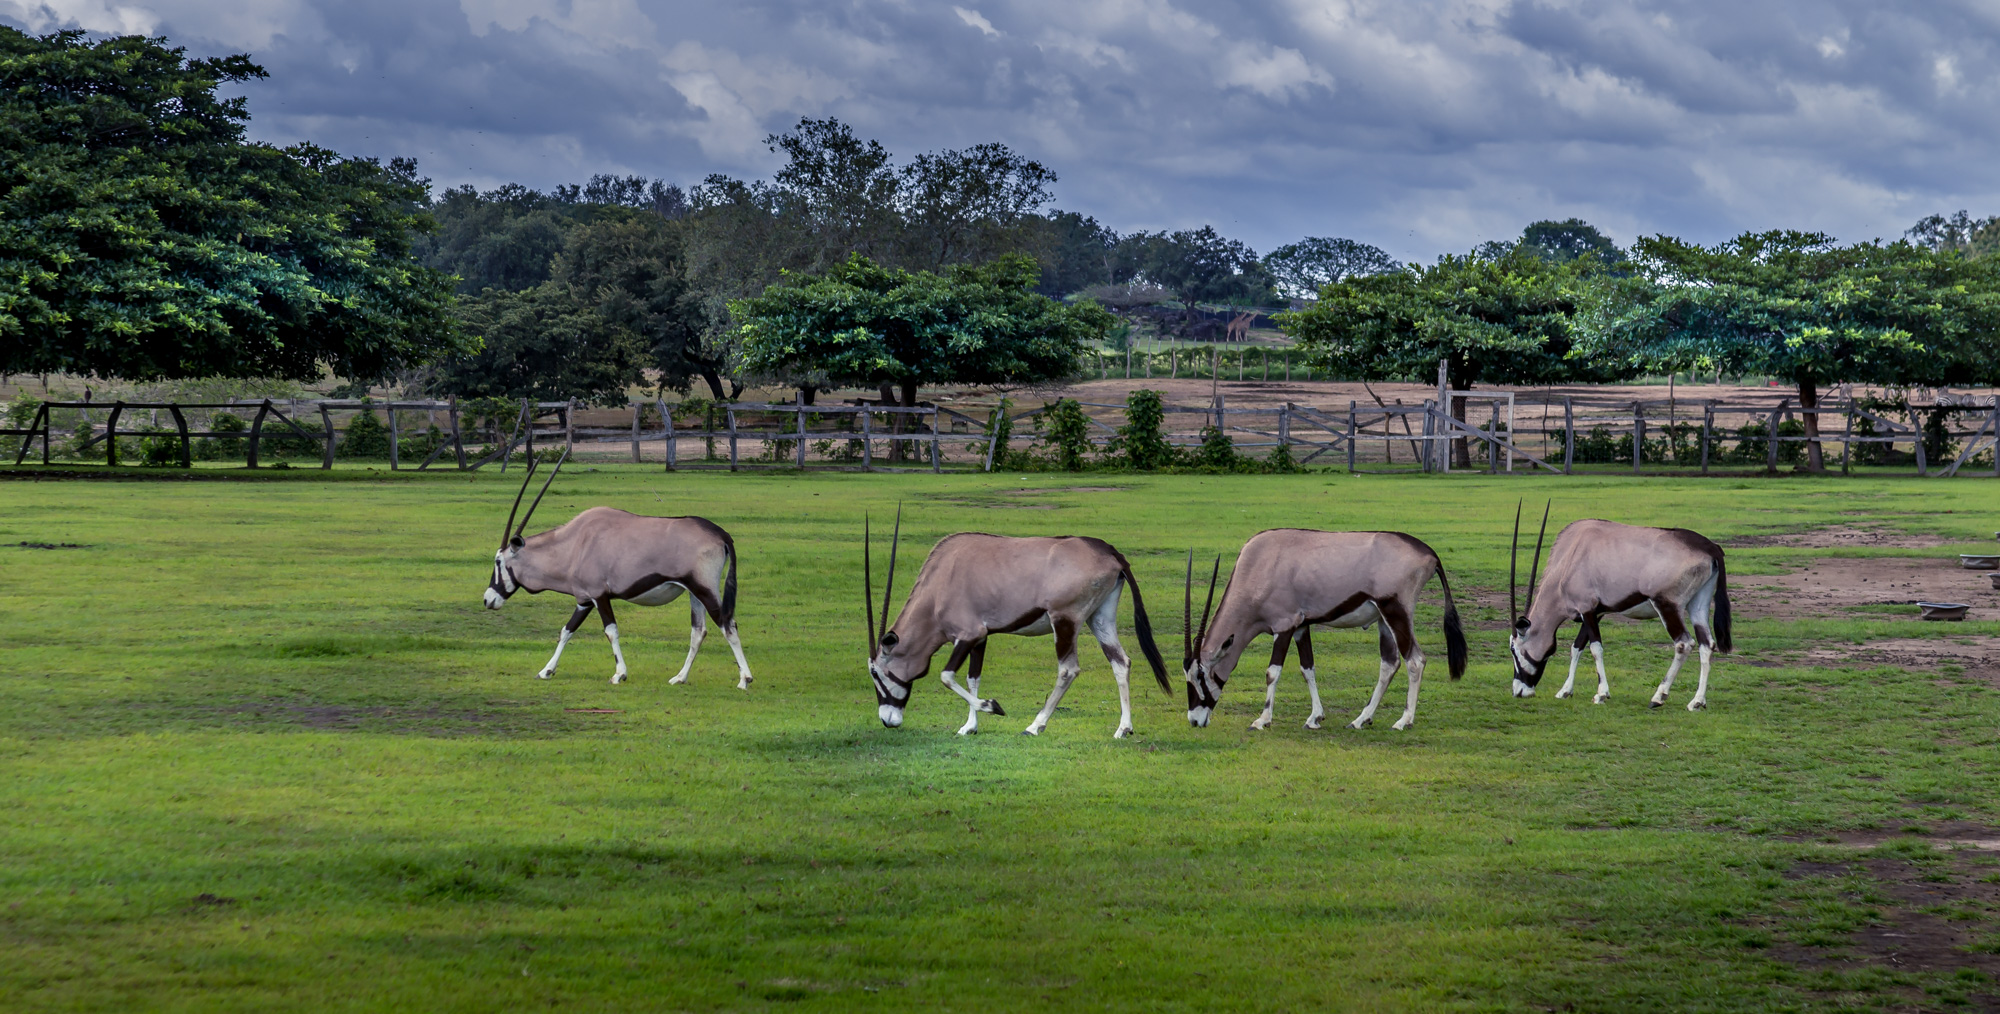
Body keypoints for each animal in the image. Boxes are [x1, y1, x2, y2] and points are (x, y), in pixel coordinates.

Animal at [483, 452, 752, 687]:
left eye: (498, 562)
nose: (487, 600)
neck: (575, 544)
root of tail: (721, 534)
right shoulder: (584, 600)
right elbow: (566, 631)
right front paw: (546, 671)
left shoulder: (599, 595)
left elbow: (610, 631)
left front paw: (619, 674)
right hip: (694, 593)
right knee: (698, 631)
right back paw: (680, 677)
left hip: (704, 589)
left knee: (728, 625)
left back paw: (744, 679)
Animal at [863, 510, 1170, 737]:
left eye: (876, 672)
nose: (887, 720)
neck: (939, 585)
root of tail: (1108, 550)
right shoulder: (980, 637)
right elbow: (972, 677)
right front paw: (969, 727)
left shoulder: (967, 634)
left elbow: (947, 676)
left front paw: (992, 706)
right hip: (1100, 617)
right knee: (1120, 661)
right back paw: (1123, 729)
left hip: (1065, 620)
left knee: (1068, 669)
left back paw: (1035, 726)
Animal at [1183, 530, 1468, 731]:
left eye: (1200, 675)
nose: (1195, 720)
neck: (1259, 565)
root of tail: (1430, 554)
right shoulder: (1301, 626)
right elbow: (1307, 668)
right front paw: (1314, 718)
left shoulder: (1284, 626)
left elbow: (1272, 672)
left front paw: (1262, 720)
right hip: (1383, 620)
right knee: (1390, 663)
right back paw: (1360, 720)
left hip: (1395, 612)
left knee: (1415, 661)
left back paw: (1403, 721)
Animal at [1507, 504, 1731, 710]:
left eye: (1513, 649)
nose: (1518, 691)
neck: (1569, 559)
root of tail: (1711, 548)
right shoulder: (1595, 613)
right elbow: (1576, 647)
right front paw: (1565, 691)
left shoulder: (1587, 609)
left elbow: (1595, 648)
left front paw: (1601, 694)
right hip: (1698, 605)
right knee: (1706, 644)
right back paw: (1697, 701)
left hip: (1667, 605)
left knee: (1684, 644)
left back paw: (1658, 697)